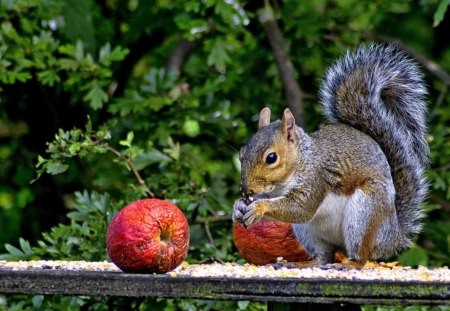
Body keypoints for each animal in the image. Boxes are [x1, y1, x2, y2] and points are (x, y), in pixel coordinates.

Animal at [232, 43, 428, 268]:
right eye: (241, 153)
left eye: (271, 158)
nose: (246, 190)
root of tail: (391, 236)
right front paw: (238, 207)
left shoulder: (317, 179)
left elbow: (301, 208)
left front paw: (259, 207)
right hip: (308, 232)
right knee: (323, 256)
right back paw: (301, 264)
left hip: (365, 214)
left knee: (361, 256)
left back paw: (348, 265)